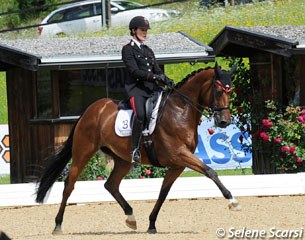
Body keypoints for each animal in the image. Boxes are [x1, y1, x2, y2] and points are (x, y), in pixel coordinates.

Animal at [35, 63, 239, 234]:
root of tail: (90, 110)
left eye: (230, 91)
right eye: (218, 90)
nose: (224, 121)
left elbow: (164, 192)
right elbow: (210, 171)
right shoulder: (180, 155)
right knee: (69, 185)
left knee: (111, 185)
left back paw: (131, 218)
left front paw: (151, 224)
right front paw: (232, 201)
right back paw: (58, 225)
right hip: (83, 152)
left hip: (123, 159)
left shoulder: (177, 165)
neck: (180, 111)